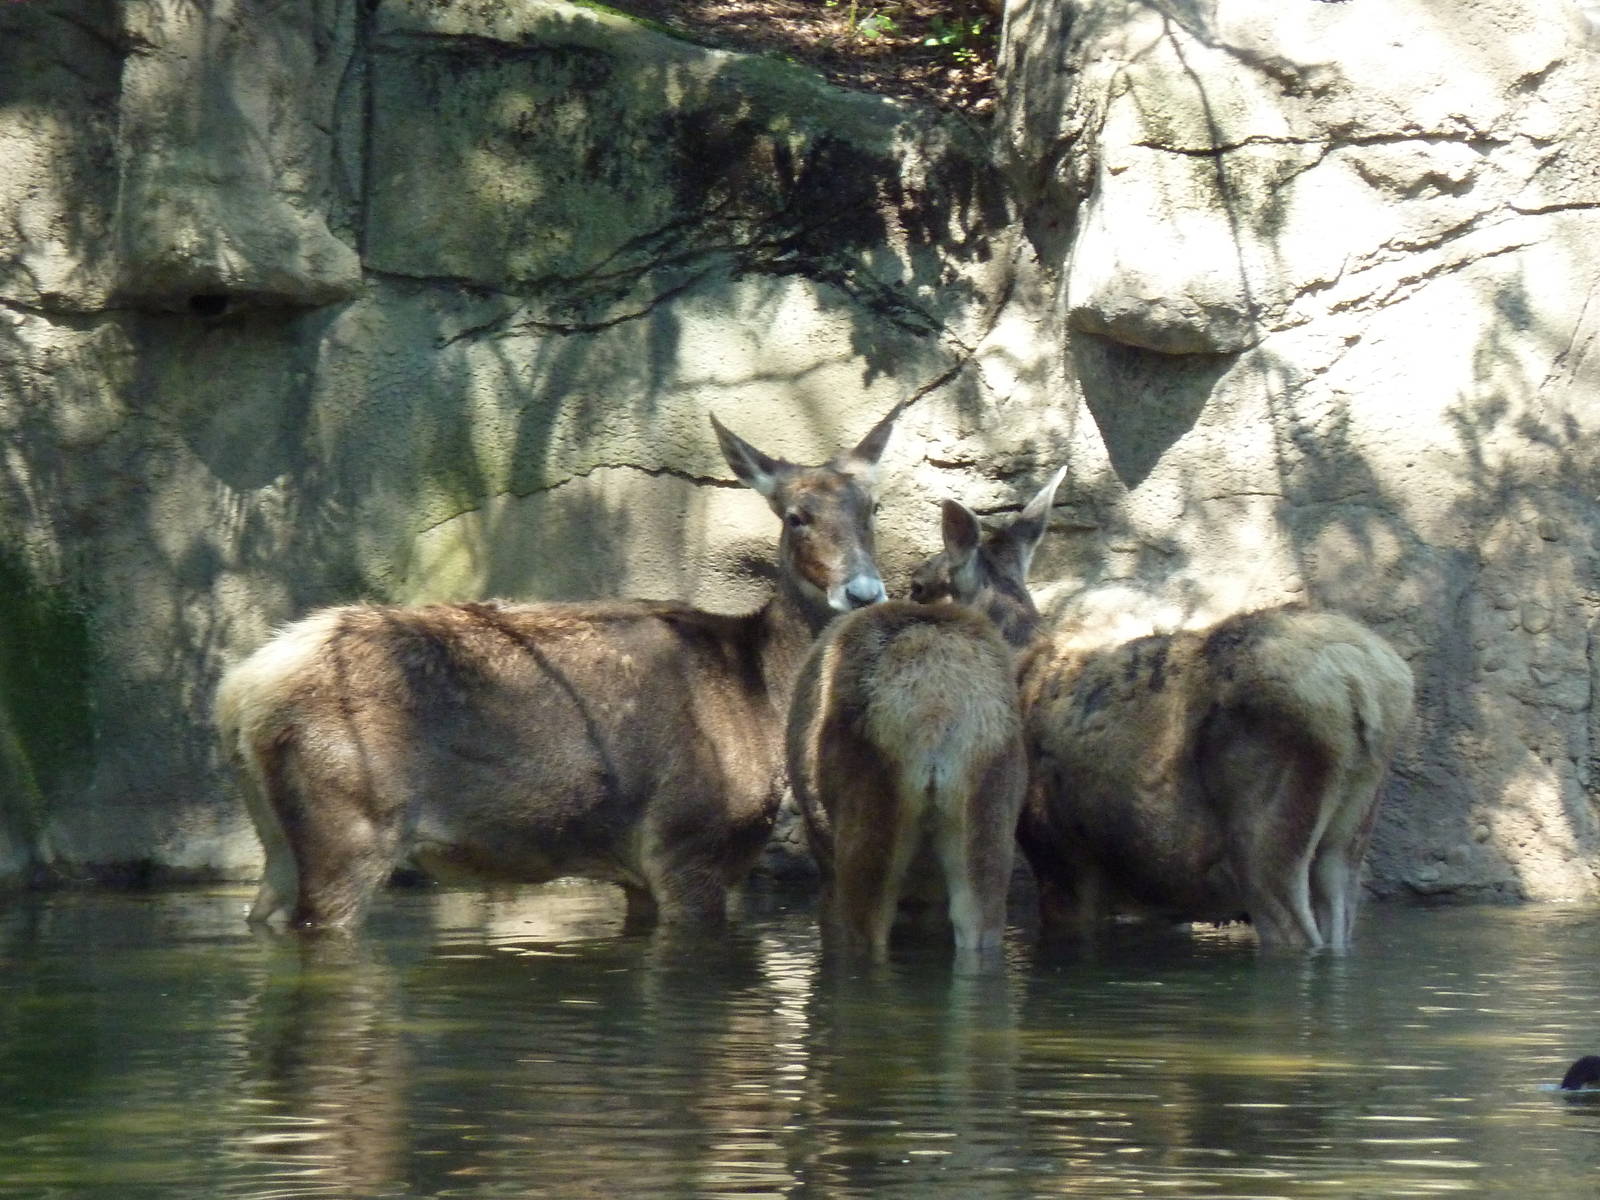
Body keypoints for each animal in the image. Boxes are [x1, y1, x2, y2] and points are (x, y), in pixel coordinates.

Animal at [214, 408, 897, 931]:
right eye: (795, 516)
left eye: (873, 508)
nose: (863, 592)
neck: (758, 692)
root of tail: (239, 693)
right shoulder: (688, 841)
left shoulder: (640, 872)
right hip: (349, 825)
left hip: (277, 838)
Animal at [786, 593, 1027, 965]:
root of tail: (934, 699)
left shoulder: (826, 864)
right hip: (989, 803)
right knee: (978, 924)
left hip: (870, 814)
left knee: (869, 931)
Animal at [908, 471, 1415, 950]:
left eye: (919, 587)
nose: (905, 591)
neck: (1019, 661)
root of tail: (1362, 687)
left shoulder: (1058, 855)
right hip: (1348, 839)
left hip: (1267, 826)